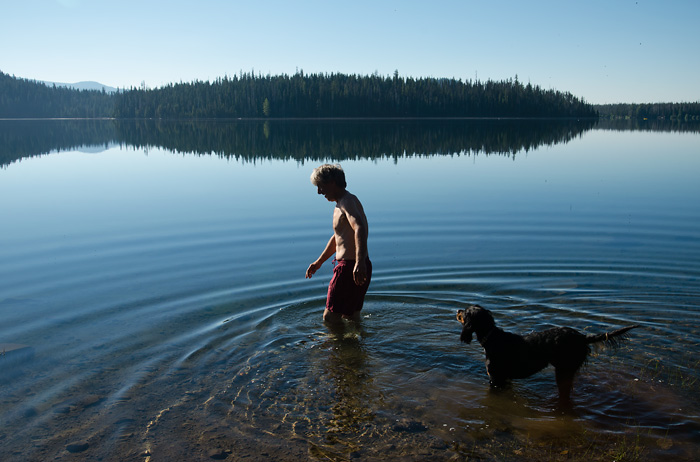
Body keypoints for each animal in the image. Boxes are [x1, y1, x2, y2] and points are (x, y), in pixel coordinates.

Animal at [456, 304, 639, 403]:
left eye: (465, 312)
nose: (457, 310)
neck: (492, 337)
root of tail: (582, 337)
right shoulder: (505, 379)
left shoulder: (495, 379)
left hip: (564, 370)